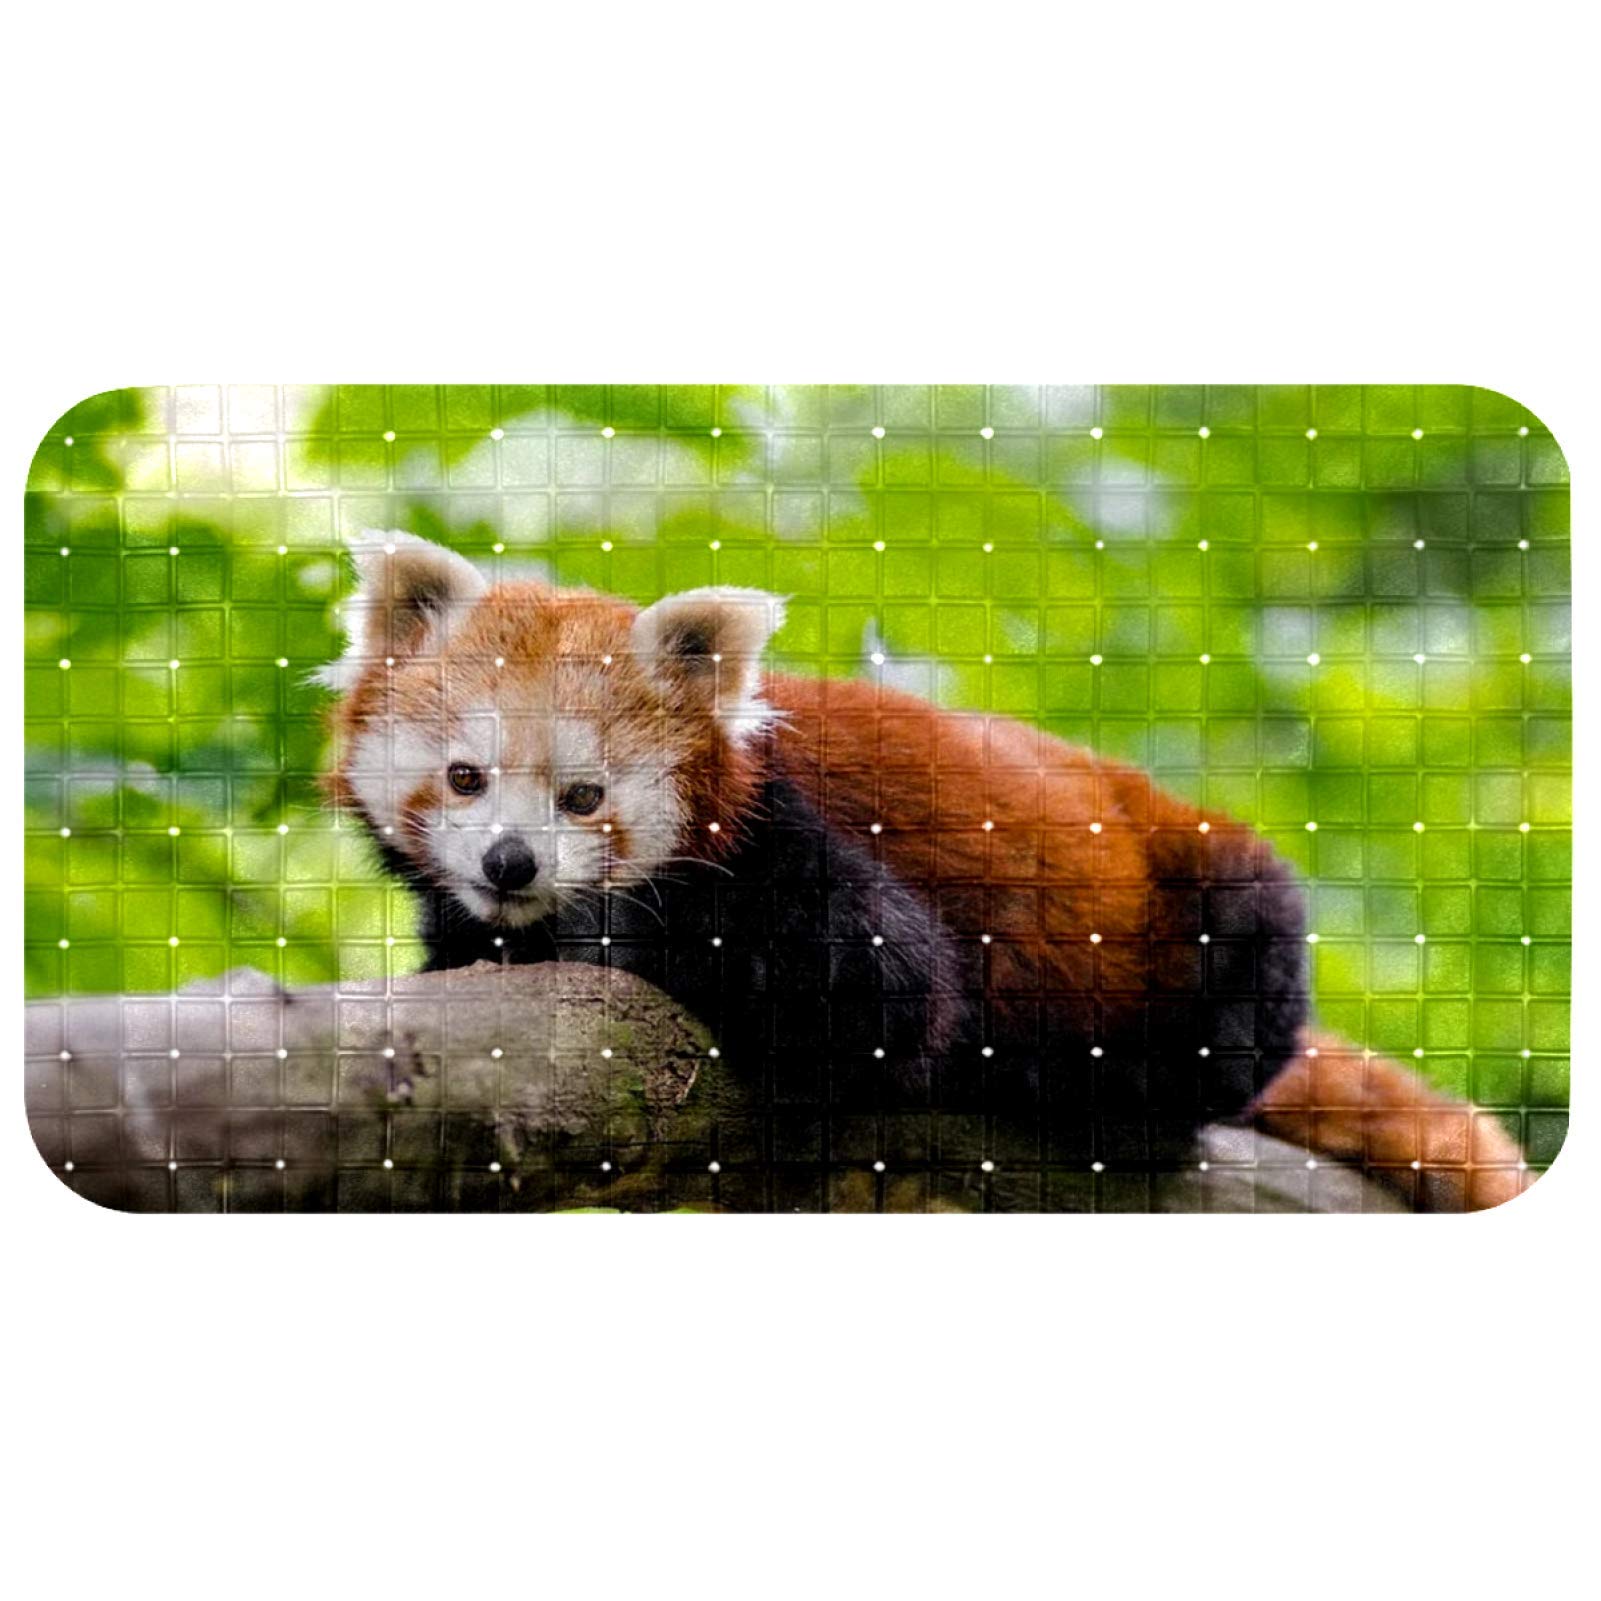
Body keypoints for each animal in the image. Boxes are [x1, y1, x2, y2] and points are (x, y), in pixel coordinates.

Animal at [315, 530, 1530, 1208]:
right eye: (464, 777)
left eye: (583, 797)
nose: (511, 864)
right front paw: (468, 945)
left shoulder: (789, 850)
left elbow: (883, 992)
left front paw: (598, 931)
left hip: (1209, 899)